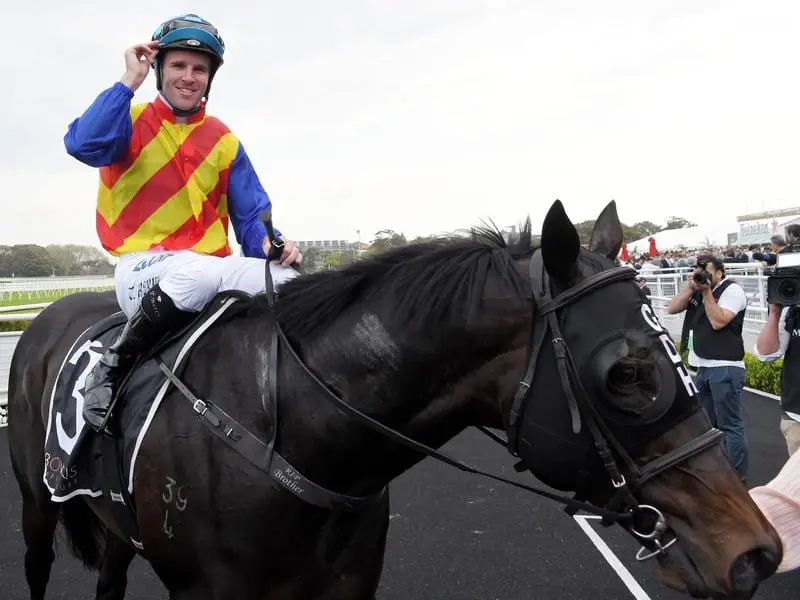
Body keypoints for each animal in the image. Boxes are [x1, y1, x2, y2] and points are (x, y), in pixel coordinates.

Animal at [6, 202, 780, 600]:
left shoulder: (345, 588)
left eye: (674, 347)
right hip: (37, 504)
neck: (284, 433)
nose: (758, 552)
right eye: (625, 372)